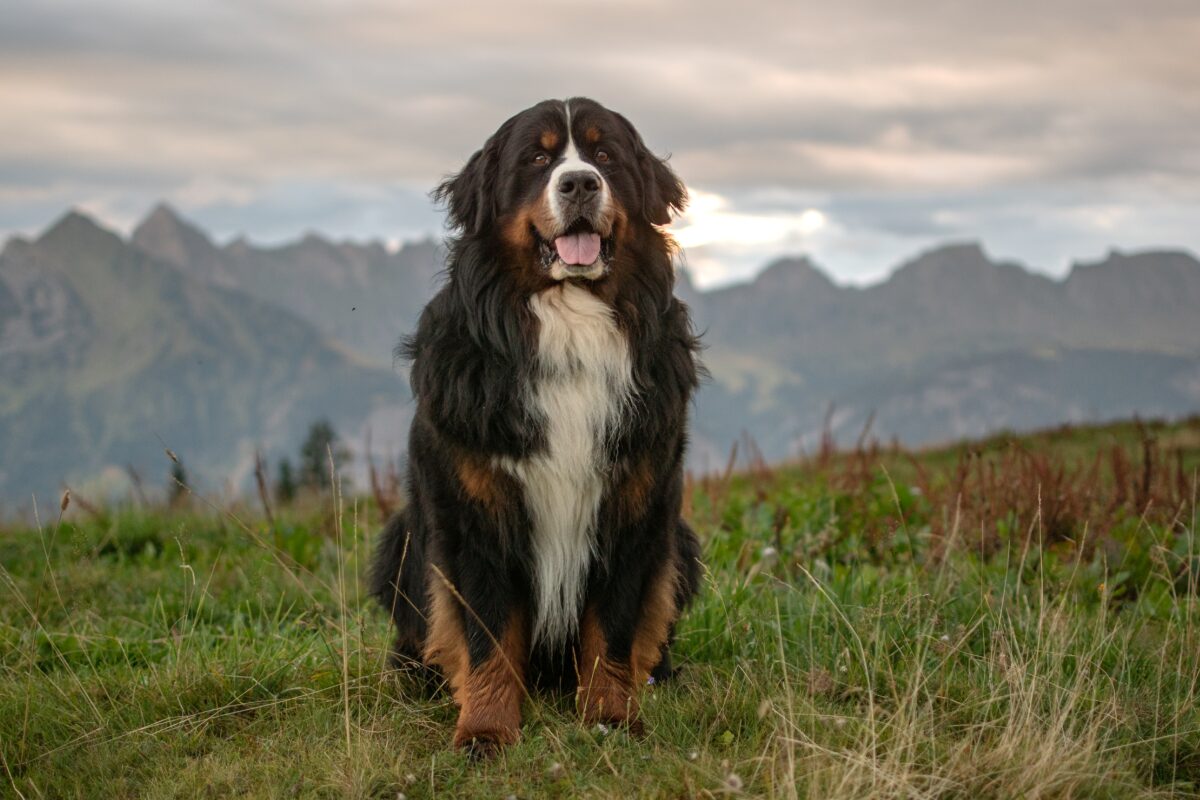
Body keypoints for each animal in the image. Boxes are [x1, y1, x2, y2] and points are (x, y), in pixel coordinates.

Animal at [369, 97, 700, 753]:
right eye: (538, 160)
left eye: (605, 154)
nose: (579, 184)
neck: (570, 323)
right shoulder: (476, 510)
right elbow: (488, 635)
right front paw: (486, 730)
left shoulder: (632, 503)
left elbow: (612, 627)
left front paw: (610, 716)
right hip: (400, 541)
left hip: (682, 542)